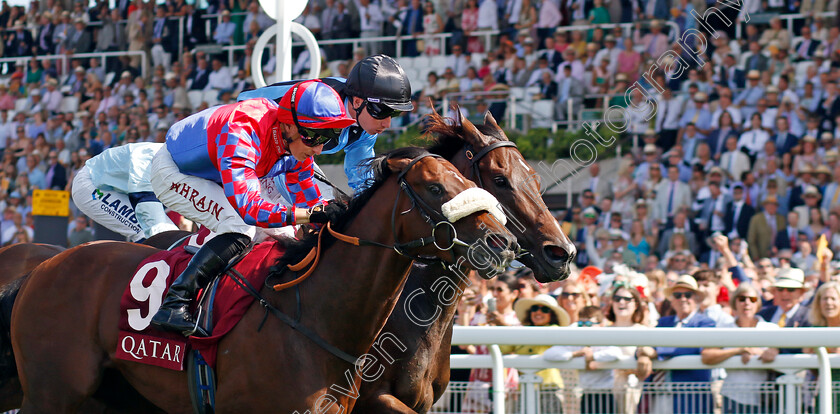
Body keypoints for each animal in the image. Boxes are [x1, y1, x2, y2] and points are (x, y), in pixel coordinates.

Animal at [11, 147, 520, 412]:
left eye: (470, 182)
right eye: (435, 187)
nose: (503, 242)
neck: (313, 319)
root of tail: (40, 269)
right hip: (53, 392)